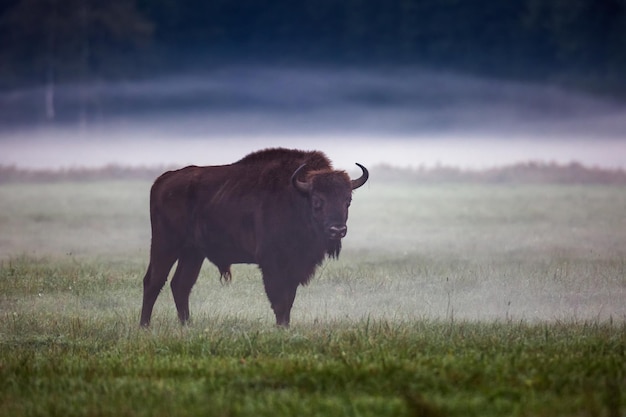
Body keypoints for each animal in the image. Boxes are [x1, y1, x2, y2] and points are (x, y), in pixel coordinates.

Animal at [140, 148, 366, 326]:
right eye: (318, 200)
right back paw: (145, 326)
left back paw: (186, 325)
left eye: (347, 200)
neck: (297, 197)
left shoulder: (294, 267)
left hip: (193, 253)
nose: (337, 230)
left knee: (181, 285)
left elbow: (289, 300)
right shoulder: (272, 264)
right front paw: (281, 328)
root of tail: (162, 181)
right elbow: (280, 300)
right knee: (153, 281)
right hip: (166, 245)